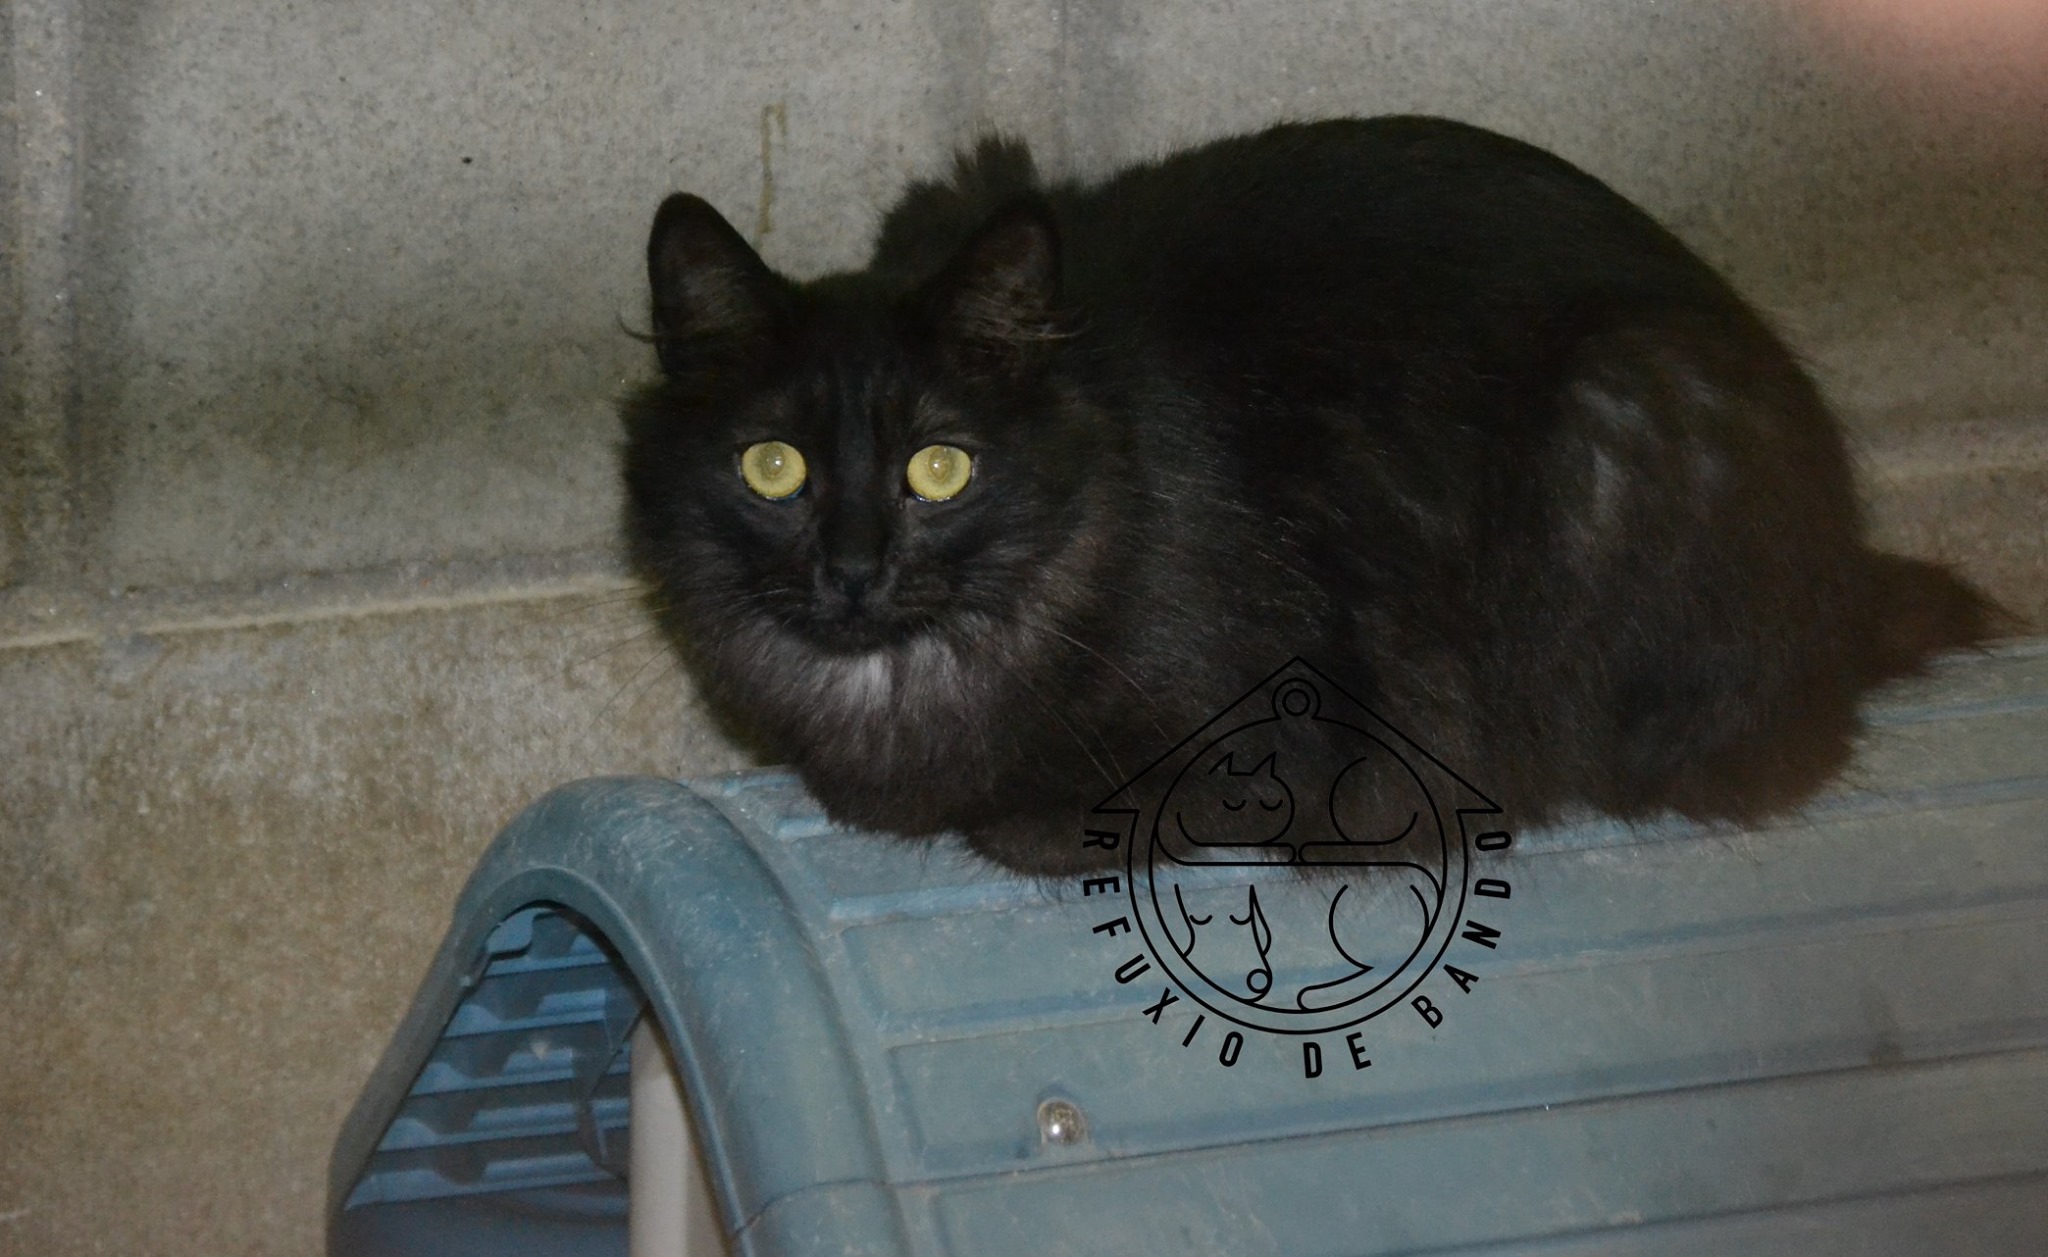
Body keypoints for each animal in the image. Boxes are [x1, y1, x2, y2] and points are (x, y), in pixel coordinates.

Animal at [619, 117, 2002, 877]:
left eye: (938, 467)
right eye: (772, 467)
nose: (851, 569)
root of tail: (1841, 576)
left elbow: (1054, 819)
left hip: (1618, 410)